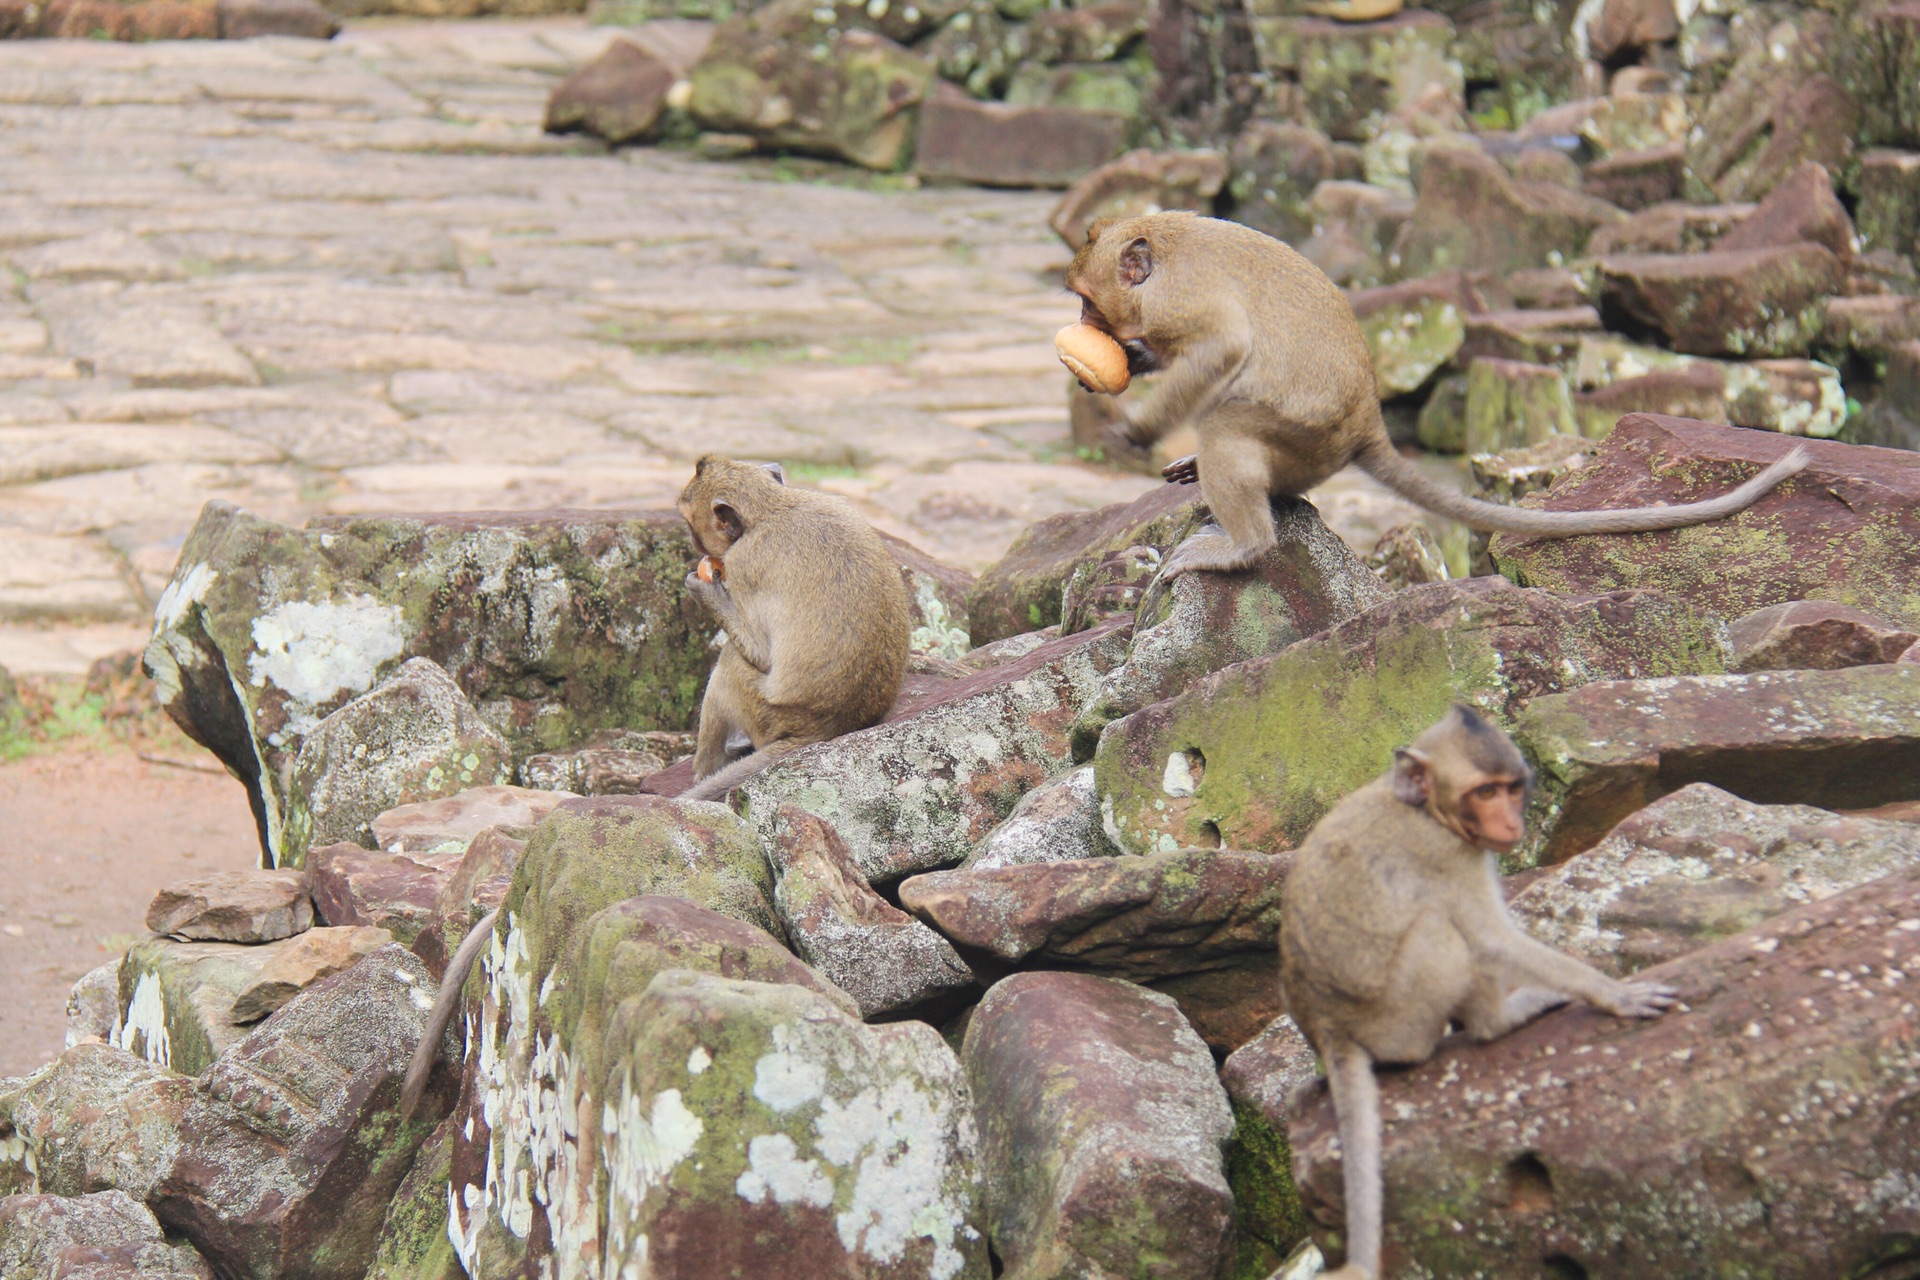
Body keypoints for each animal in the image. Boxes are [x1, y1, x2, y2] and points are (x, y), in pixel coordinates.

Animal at [675, 454, 913, 802]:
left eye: (691, 523)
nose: (693, 541)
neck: (771, 509)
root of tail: (828, 729)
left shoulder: (744, 565)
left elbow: (762, 654)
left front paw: (706, 592)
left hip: (768, 714)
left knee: (730, 664)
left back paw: (707, 769)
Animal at [1067, 213, 1812, 579]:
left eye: (1086, 302)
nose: (1085, 327)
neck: (1165, 245)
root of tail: (1368, 422)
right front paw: (1140, 361)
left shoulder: (1181, 297)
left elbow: (1223, 346)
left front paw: (1133, 430)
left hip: (1300, 436)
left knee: (1227, 424)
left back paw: (1242, 545)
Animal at [1274, 706, 1681, 1274]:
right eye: (1484, 793)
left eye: (1511, 788)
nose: (1510, 822)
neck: (1425, 810)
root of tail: (1330, 1031)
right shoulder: (1447, 855)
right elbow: (1492, 941)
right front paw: (1613, 994)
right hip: (1399, 1018)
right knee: (1442, 931)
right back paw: (1497, 1020)